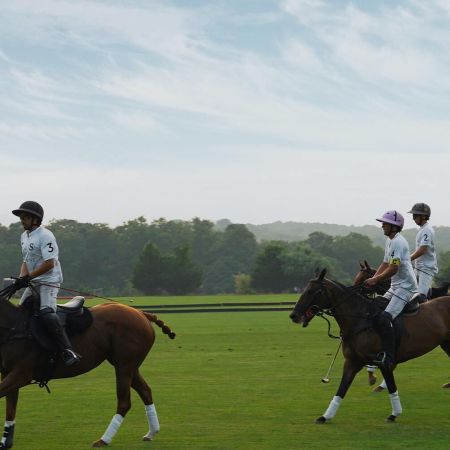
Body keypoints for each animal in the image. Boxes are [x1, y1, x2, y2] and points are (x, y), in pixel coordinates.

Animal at [0, 286, 175, 448]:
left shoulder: (21, 374)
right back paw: (151, 432)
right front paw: (6, 441)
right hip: (129, 366)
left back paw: (104, 439)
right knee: (146, 391)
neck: (15, 327)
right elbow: (10, 409)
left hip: (124, 366)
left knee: (124, 401)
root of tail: (142, 313)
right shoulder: (8, 373)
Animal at [290, 268, 450, 424]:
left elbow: (392, 387)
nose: (294, 315)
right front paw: (325, 416)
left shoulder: (384, 362)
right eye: (305, 289)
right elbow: (341, 389)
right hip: (446, 344)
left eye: (314, 291)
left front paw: (394, 414)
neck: (360, 320)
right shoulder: (352, 362)